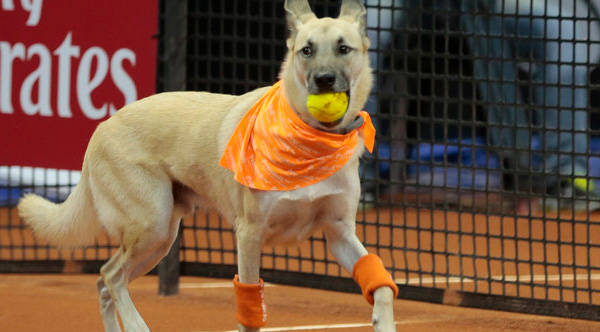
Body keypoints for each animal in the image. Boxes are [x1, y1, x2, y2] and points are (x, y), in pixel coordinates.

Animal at [17, 0, 398, 332]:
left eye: (343, 48)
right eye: (306, 50)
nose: (324, 80)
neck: (312, 142)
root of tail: (100, 128)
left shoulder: (340, 233)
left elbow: (380, 285)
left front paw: (383, 322)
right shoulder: (249, 234)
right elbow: (249, 310)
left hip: (159, 241)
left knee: (103, 281)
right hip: (152, 226)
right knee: (112, 276)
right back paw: (138, 325)